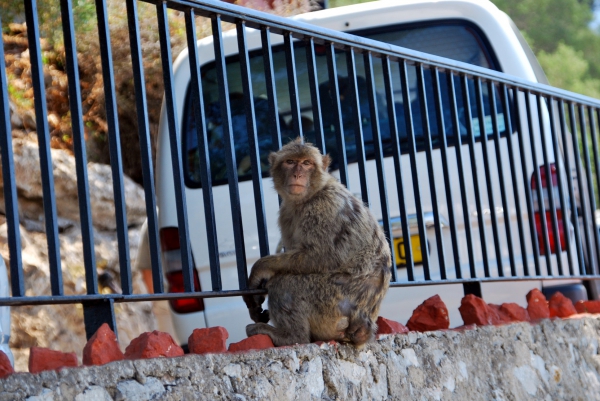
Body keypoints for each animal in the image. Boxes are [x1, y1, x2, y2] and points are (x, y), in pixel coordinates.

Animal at [241, 138, 392, 346]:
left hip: (331, 303)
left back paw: (291, 337)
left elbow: (323, 257)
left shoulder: (323, 207)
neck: (310, 195)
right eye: (290, 162)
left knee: (285, 283)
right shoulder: (286, 214)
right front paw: (255, 299)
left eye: (306, 163)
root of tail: (363, 322)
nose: (297, 174)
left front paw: (259, 269)